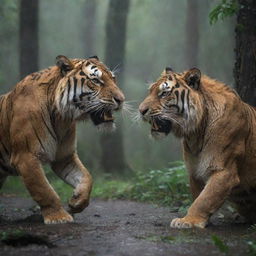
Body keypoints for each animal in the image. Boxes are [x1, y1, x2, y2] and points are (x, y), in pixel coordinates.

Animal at [0, 55, 125, 224]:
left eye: (113, 78)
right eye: (96, 81)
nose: (121, 100)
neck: (61, 117)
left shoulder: (64, 157)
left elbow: (87, 178)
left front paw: (76, 202)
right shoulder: (26, 156)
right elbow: (44, 189)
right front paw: (58, 217)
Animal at [139, 67, 256, 228]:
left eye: (164, 93)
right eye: (150, 91)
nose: (140, 110)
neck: (195, 133)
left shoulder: (224, 171)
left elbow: (204, 199)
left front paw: (187, 221)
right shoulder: (194, 171)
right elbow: (198, 196)